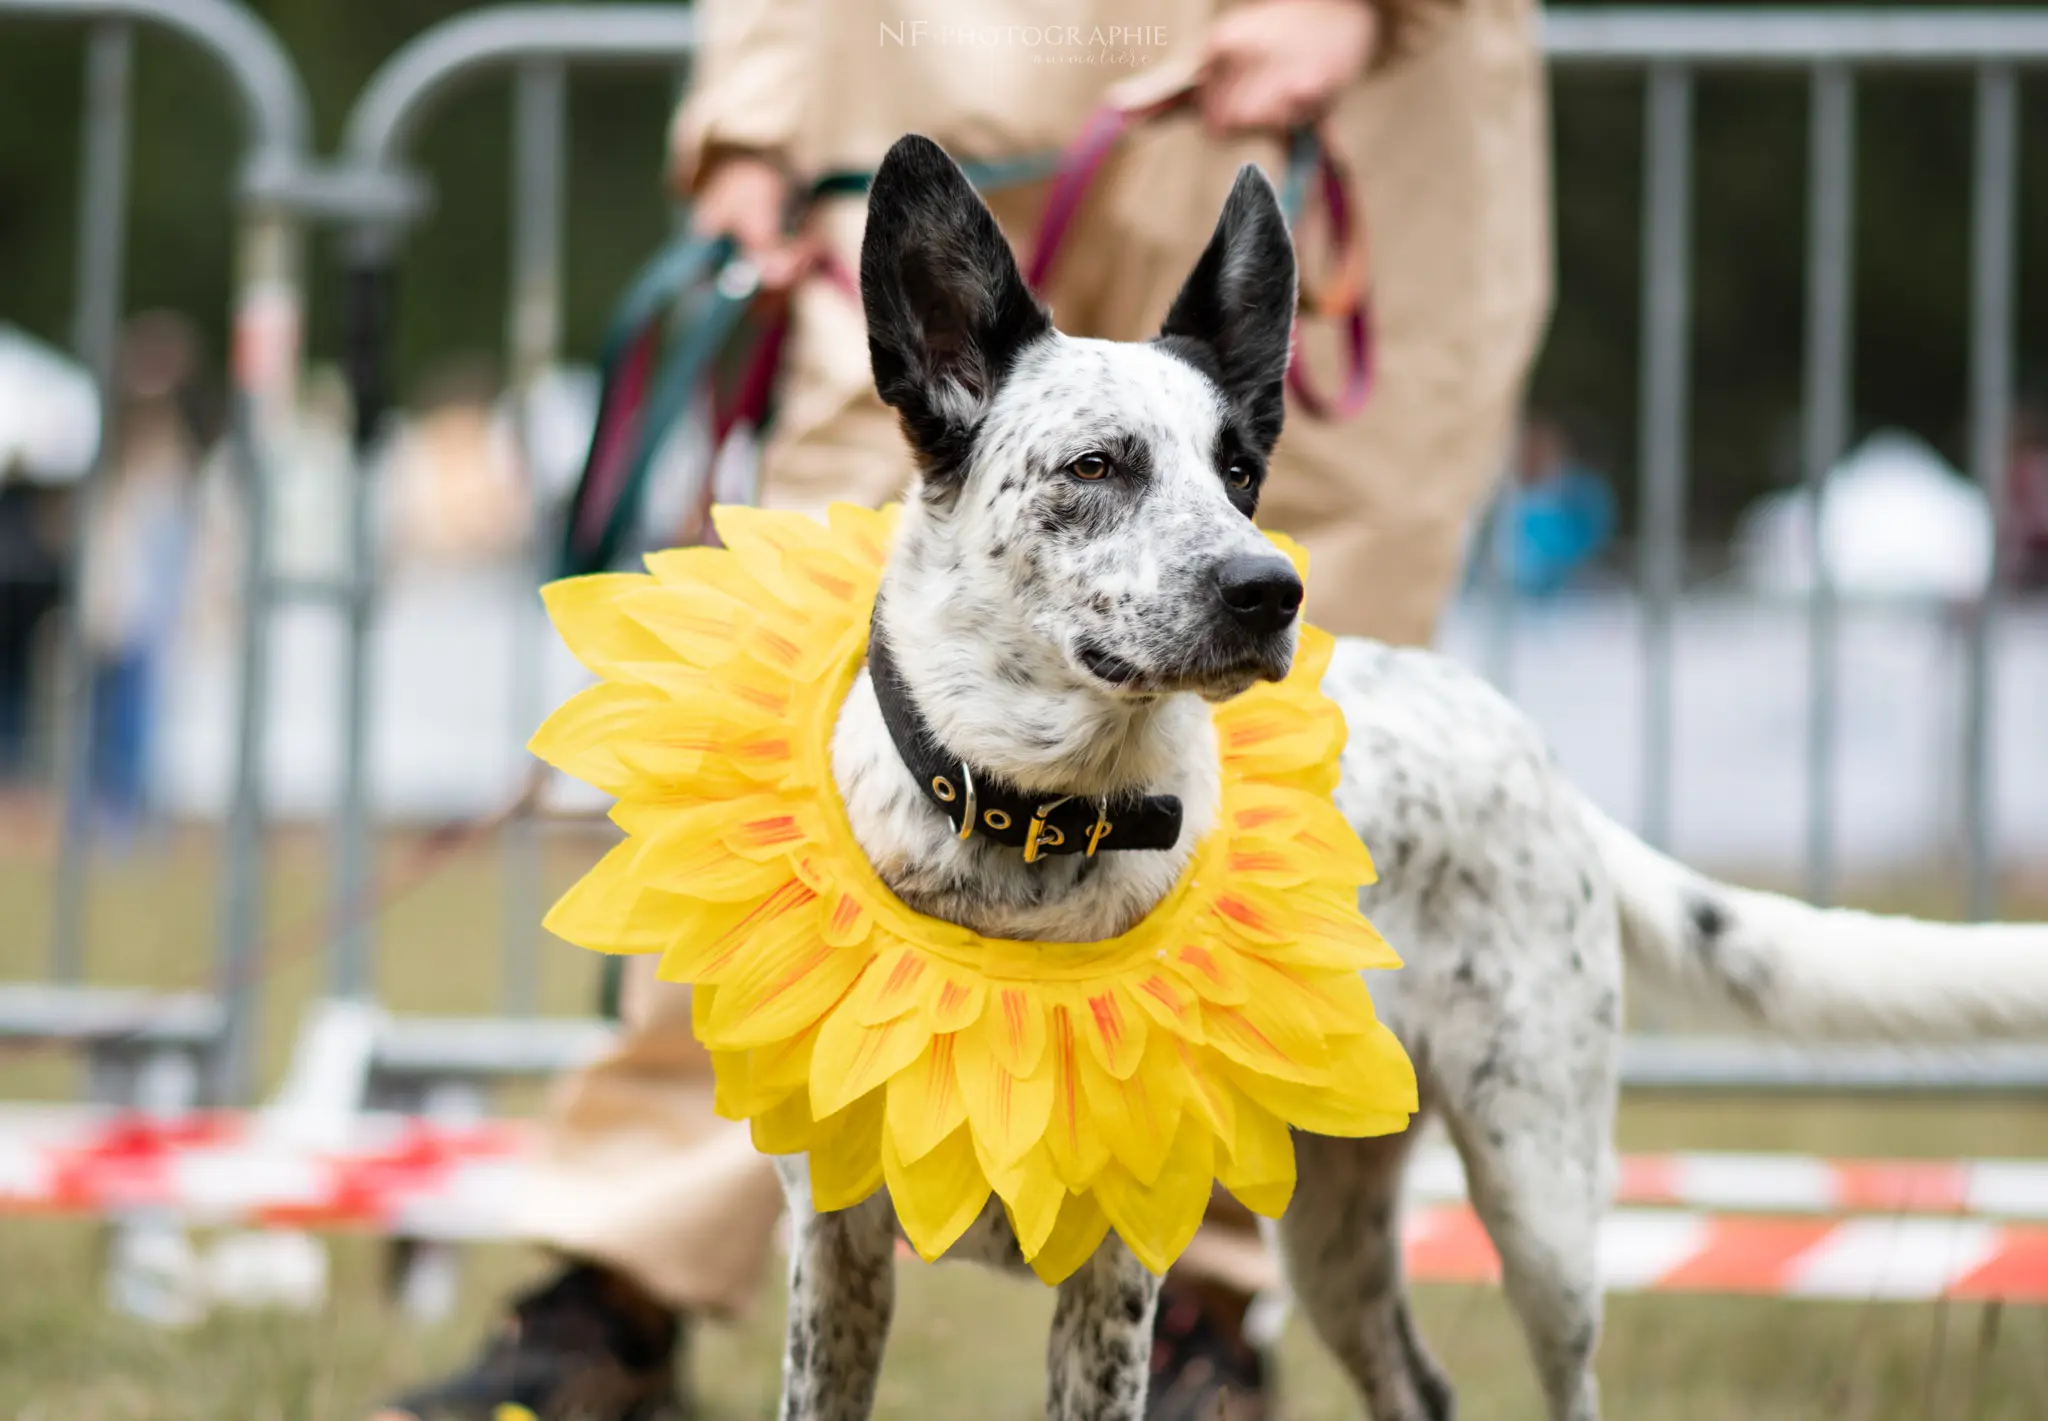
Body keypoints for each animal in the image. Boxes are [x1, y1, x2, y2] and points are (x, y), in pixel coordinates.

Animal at [765, 136, 2048, 1421]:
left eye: (1242, 471)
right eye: (1095, 464)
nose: (1268, 589)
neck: (1030, 826)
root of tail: (1533, 752)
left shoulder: (1117, 1268)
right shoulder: (833, 1248)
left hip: (1539, 1203)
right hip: (1334, 1225)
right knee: (1417, 1387)